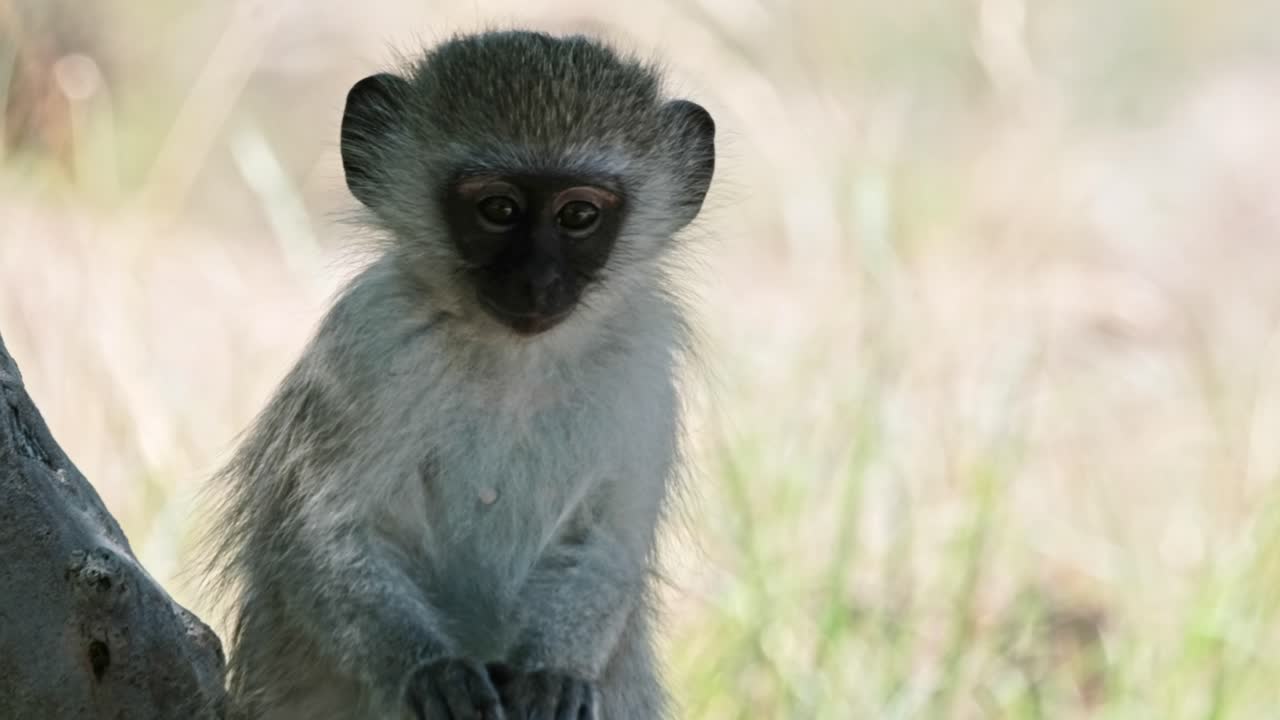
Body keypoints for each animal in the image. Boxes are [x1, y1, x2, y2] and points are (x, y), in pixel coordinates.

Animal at [199, 30, 715, 720]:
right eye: (498, 208)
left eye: (579, 216)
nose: (536, 281)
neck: (514, 360)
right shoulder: (372, 342)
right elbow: (323, 532)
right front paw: (432, 672)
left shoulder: (641, 365)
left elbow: (605, 544)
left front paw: (552, 676)